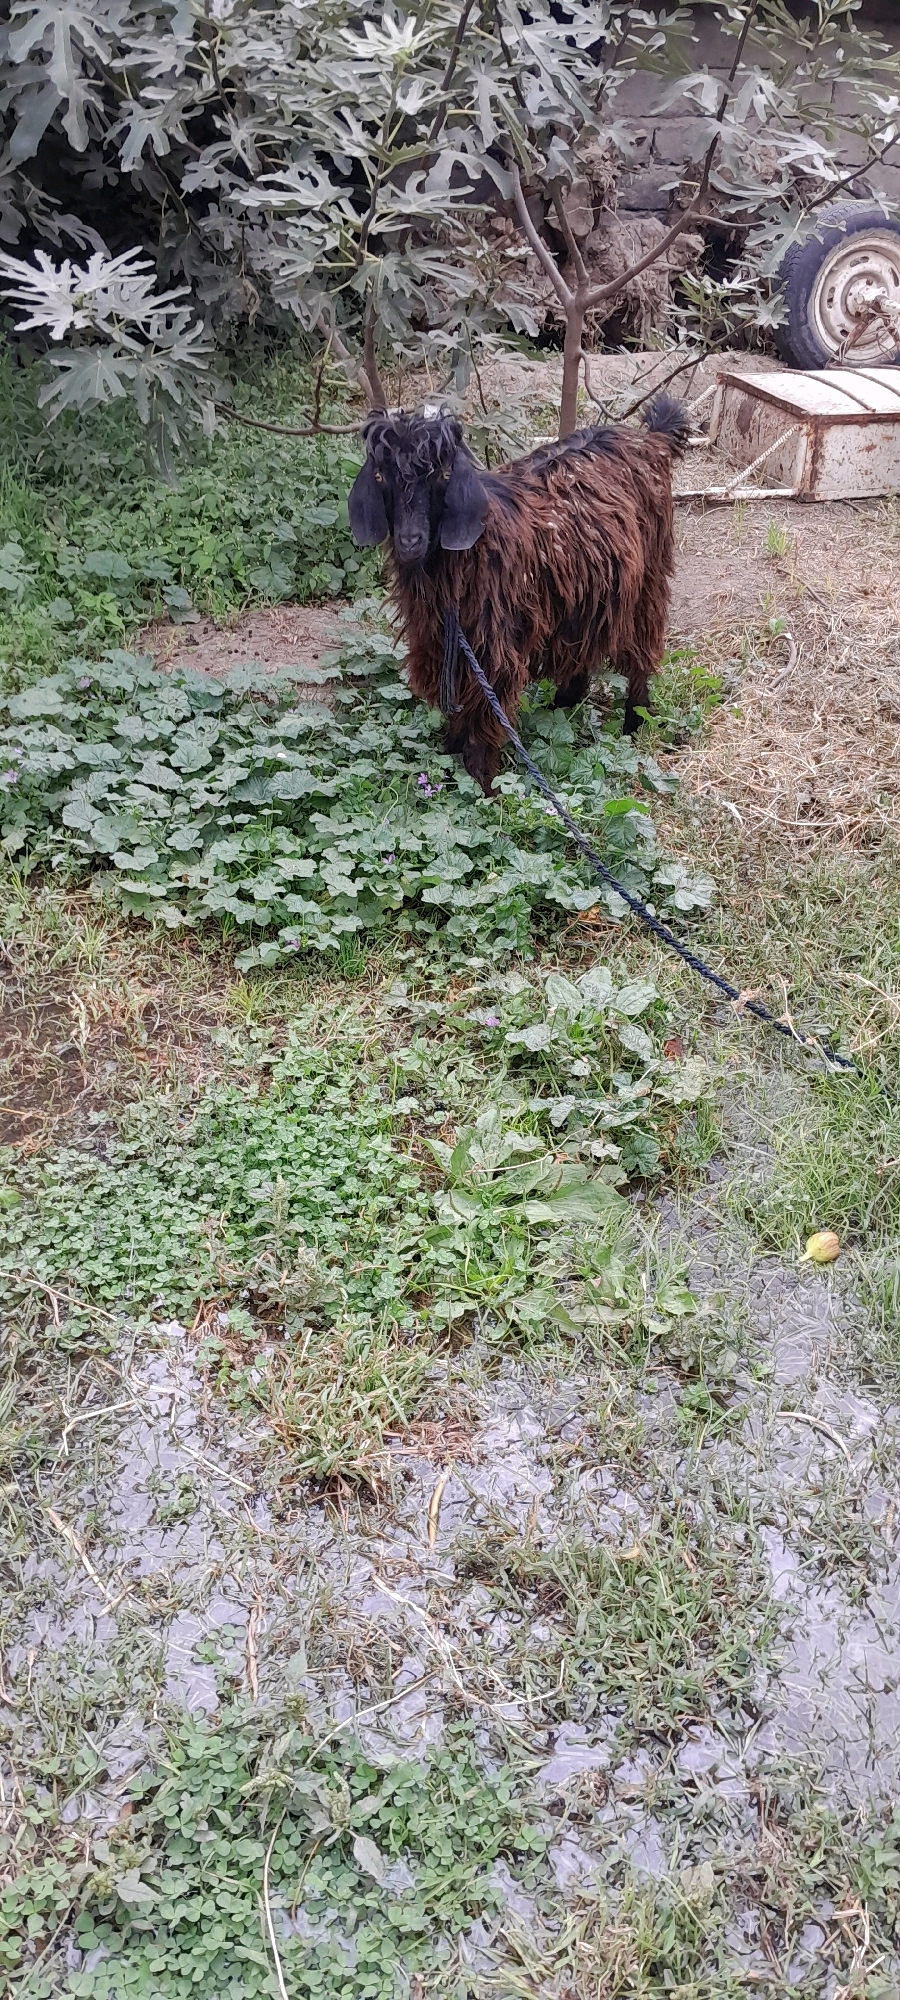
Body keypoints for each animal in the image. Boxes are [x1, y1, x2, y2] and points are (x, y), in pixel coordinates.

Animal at [347, 396, 689, 793]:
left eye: (443, 476)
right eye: (380, 476)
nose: (410, 541)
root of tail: (651, 440)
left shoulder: (492, 647)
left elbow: (483, 713)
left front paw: (481, 784)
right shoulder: (441, 643)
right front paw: (448, 763)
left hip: (648, 580)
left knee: (640, 653)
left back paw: (635, 722)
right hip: (584, 593)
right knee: (581, 649)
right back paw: (562, 706)